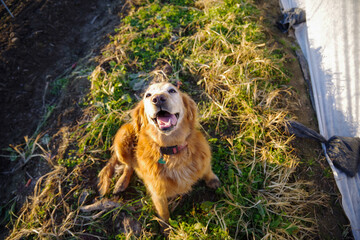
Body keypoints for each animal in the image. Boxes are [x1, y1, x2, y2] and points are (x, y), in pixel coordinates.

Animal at [98, 82, 222, 221]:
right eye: (148, 95)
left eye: (172, 90)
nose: (158, 99)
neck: (172, 149)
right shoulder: (157, 193)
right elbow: (163, 214)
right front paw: (166, 226)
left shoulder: (204, 159)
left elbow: (207, 170)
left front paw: (212, 180)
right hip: (123, 137)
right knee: (129, 166)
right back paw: (121, 183)